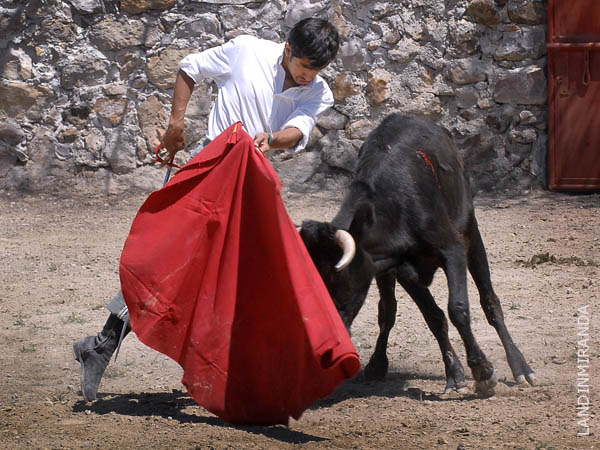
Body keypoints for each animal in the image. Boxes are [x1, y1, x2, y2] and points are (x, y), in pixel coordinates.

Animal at [302, 114, 536, 396]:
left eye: (333, 280)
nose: (325, 344)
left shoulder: (453, 250)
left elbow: (458, 309)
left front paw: (482, 372)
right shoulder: (400, 269)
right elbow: (433, 316)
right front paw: (455, 373)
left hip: (471, 231)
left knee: (490, 301)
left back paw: (520, 367)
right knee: (387, 311)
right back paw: (377, 365)